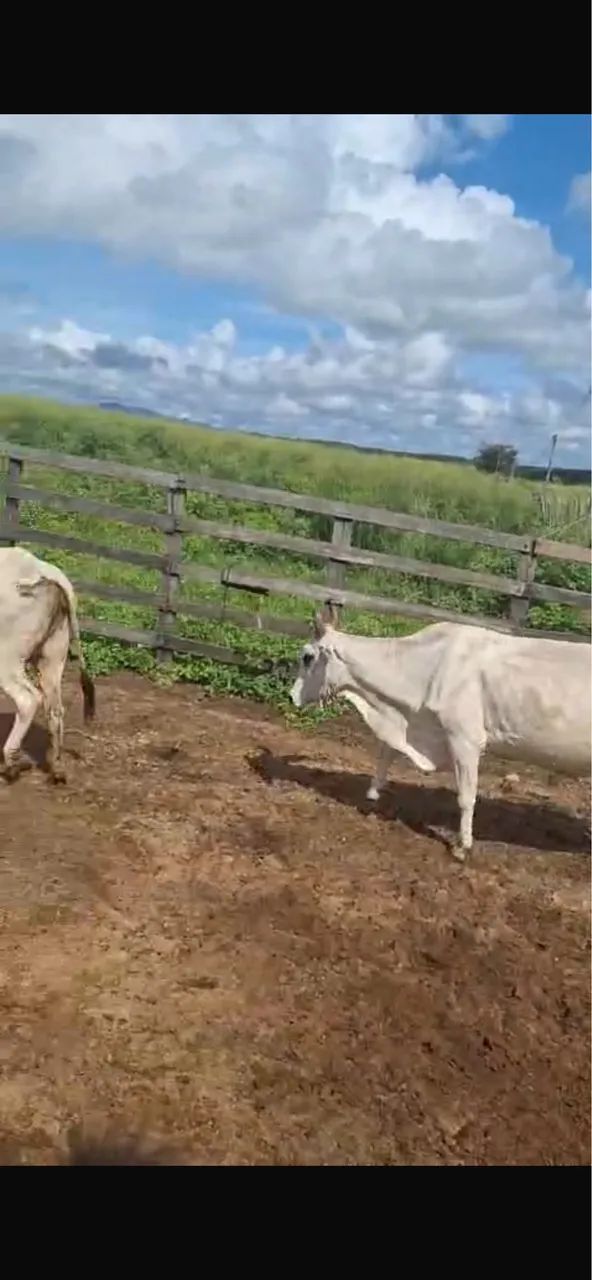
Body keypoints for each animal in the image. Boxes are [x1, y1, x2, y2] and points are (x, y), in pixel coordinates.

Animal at [0, 546, 95, 783]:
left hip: (7, 659)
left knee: (28, 700)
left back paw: (12, 763)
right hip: (53, 655)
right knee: (55, 708)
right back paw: (57, 767)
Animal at [290, 605, 591, 861]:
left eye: (307, 657)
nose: (292, 696)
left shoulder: (465, 738)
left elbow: (466, 796)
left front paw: (462, 847)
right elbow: (386, 750)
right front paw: (374, 792)